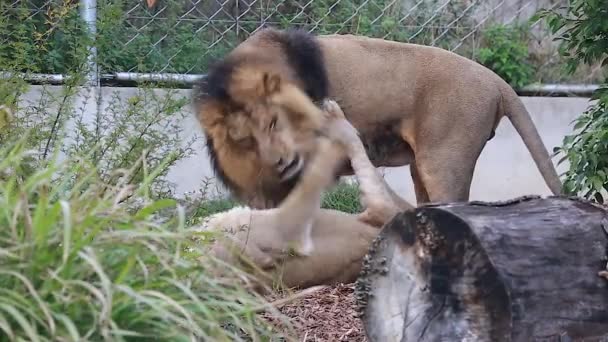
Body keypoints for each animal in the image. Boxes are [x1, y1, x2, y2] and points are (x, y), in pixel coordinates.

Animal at [194, 27, 560, 208]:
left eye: (273, 122)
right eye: (244, 139)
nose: (281, 162)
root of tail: (497, 81)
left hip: (444, 160)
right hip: (421, 166)